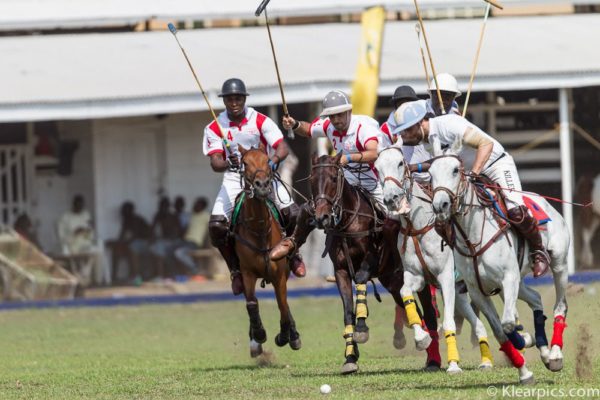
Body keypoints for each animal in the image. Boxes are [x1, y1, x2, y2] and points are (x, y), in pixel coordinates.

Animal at [234, 145, 300, 358]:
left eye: (266, 160)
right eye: (244, 162)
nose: (262, 185)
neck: (260, 229)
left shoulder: (279, 275)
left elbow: (283, 305)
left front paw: (285, 335)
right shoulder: (247, 272)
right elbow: (251, 304)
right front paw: (259, 334)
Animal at [312, 154, 438, 376]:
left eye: (333, 179)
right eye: (311, 180)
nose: (322, 217)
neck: (349, 222)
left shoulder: (373, 259)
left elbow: (361, 279)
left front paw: (362, 328)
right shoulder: (341, 271)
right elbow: (347, 313)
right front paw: (350, 358)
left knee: (430, 314)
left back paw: (434, 359)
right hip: (393, 281)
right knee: (416, 311)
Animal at [376, 146, 492, 372]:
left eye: (400, 163)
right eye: (376, 168)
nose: (391, 198)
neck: (417, 227)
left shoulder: (445, 276)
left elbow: (447, 322)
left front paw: (454, 364)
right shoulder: (416, 277)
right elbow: (406, 294)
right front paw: (422, 339)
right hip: (462, 290)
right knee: (479, 323)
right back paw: (486, 360)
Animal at [428, 144, 568, 384]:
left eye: (455, 170)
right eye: (430, 173)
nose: (441, 205)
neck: (473, 237)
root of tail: (544, 201)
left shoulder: (508, 278)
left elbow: (508, 323)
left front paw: (524, 341)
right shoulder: (478, 290)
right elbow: (500, 330)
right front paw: (524, 370)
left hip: (558, 263)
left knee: (560, 305)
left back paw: (555, 355)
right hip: (517, 282)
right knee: (535, 297)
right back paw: (544, 350)